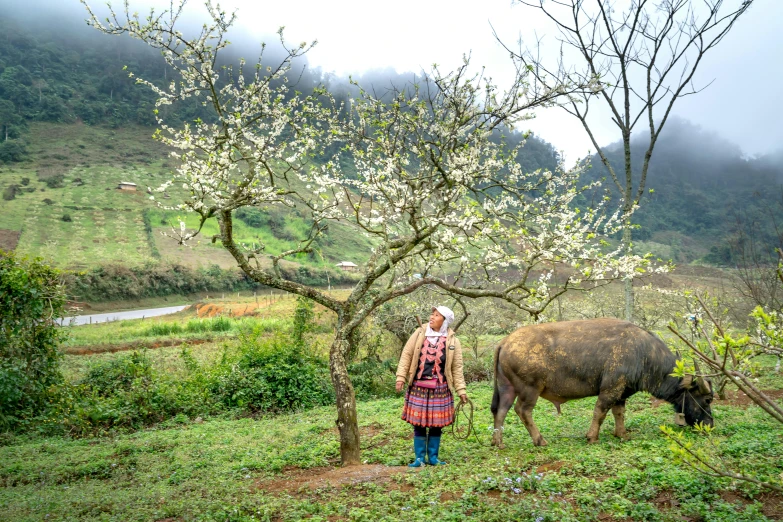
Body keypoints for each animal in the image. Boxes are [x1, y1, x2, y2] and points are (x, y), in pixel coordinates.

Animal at [494, 314, 712, 444]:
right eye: (708, 399)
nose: (710, 423)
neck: (642, 353)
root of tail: (506, 341)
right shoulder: (611, 389)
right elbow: (600, 412)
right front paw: (592, 436)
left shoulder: (621, 393)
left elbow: (619, 413)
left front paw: (621, 434)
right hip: (530, 389)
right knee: (522, 411)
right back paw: (540, 440)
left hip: (507, 388)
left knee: (500, 411)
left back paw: (498, 442)